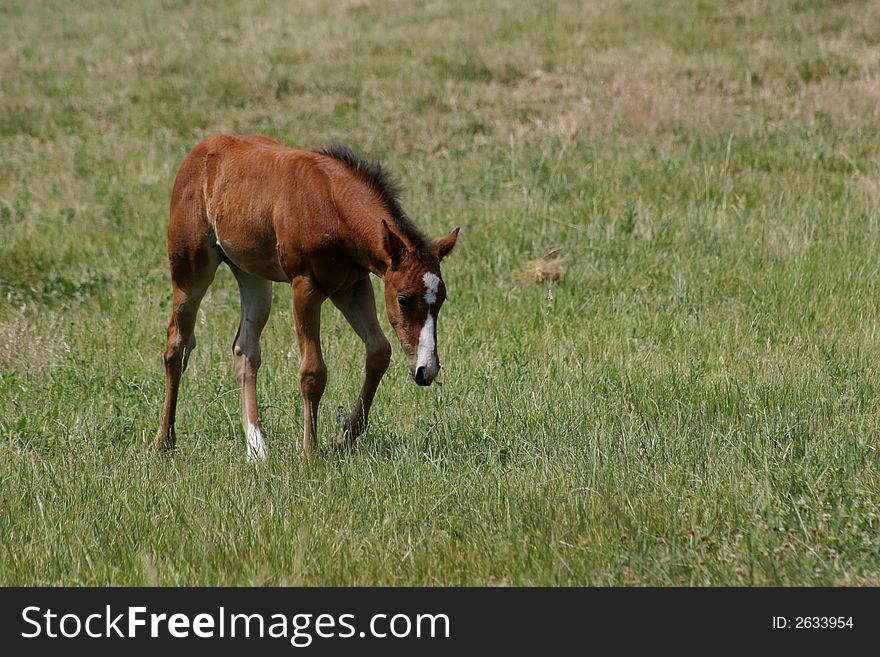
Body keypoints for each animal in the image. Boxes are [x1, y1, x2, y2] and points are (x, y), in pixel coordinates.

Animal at [156, 136, 460, 458]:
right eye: (404, 299)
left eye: (441, 300)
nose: (427, 370)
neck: (330, 203)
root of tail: (201, 148)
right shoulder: (305, 286)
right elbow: (313, 372)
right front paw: (310, 453)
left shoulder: (352, 285)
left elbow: (379, 351)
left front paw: (342, 438)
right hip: (190, 269)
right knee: (177, 345)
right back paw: (165, 440)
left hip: (253, 277)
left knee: (245, 350)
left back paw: (257, 449)